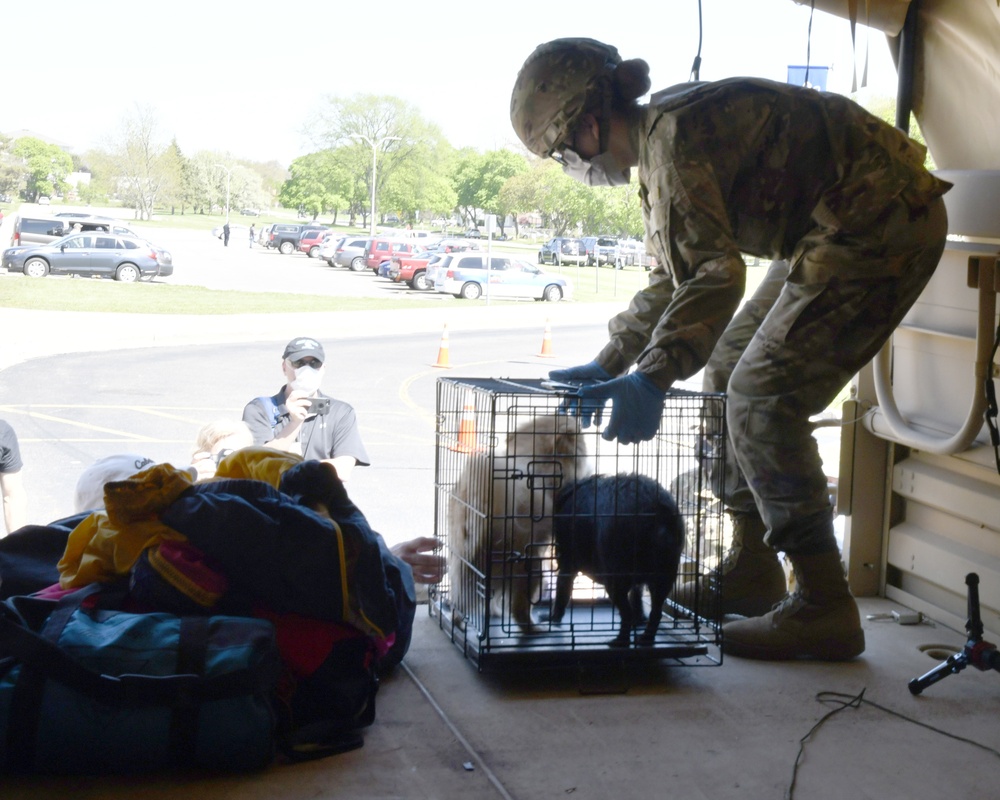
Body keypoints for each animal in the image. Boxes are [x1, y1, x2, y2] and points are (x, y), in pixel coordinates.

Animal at [552, 472, 684, 648]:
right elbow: (637, 595)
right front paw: (640, 619)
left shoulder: (567, 562)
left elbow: (562, 589)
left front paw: (553, 619)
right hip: (664, 577)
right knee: (656, 611)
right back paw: (645, 638)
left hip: (615, 579)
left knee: (626, 613)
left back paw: (620, 641)